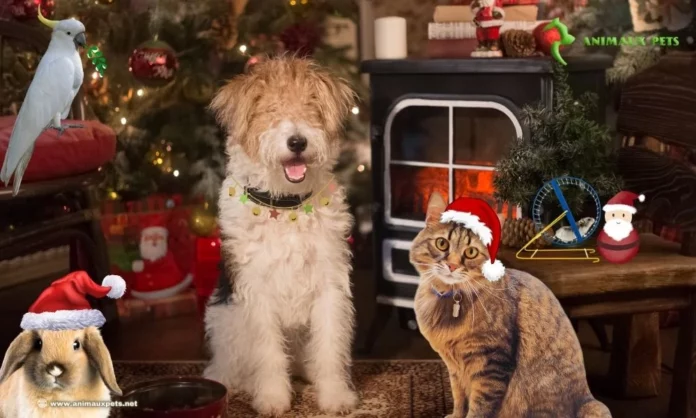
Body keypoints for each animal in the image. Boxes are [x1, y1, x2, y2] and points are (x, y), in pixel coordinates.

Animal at [201, 57, 356, 416]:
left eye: (311, 106)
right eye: (269, 108)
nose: (297, 142)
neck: (286, 206)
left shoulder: (330, 285)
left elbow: (330, 348)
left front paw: (335, 396)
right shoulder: (257, 293)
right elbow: (269, 354)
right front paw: (273, 398)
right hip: (223, 321)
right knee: (229, 367)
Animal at [410, 193, 612, 418]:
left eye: (470, 252)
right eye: (442, 243)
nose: (452, 266)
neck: (449, 299)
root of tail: (588, 397)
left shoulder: (491, 364)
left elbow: (479, 407)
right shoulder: (454, 367)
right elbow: (459, 398)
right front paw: (454, 416)